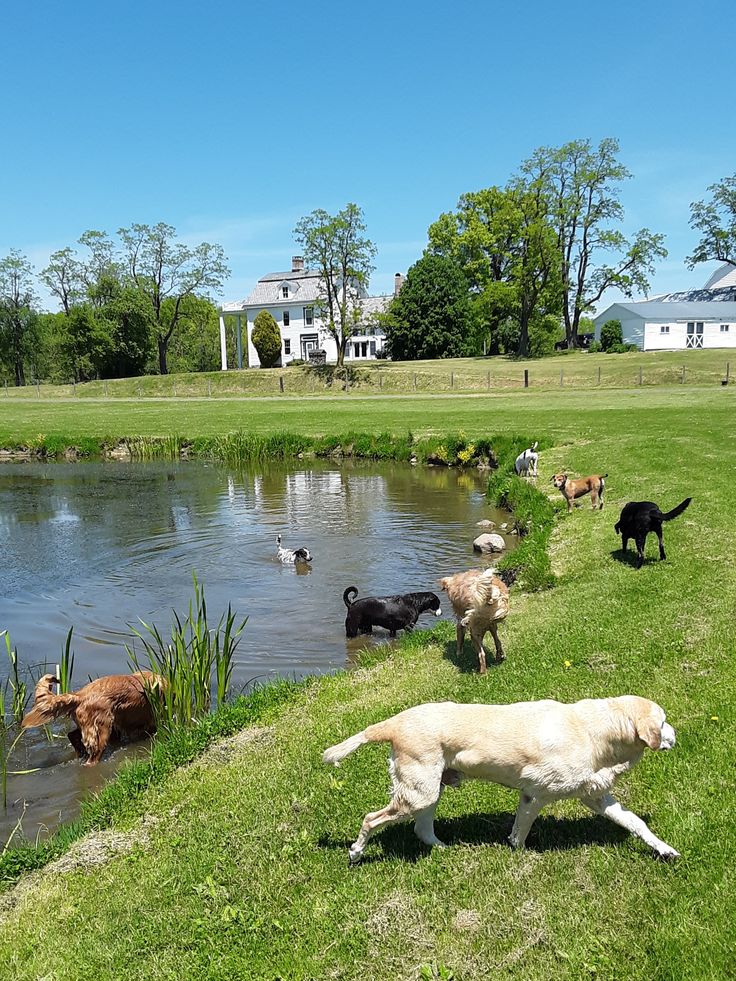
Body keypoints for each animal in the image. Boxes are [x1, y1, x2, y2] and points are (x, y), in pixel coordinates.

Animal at [21, 672, 164, 764]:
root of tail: (79, 695)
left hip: (87, 725)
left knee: (72, 735)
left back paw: (80, 752)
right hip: (102, 730)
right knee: (93, 757)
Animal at [322, 692, 680, 860]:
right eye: (663, 722)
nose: (676, 736)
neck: (595, 732)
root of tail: (394, 723)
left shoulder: (595, 796)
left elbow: (637, 824)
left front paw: (664, 850)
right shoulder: (535, 794)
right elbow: (521, 831)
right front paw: (518, 854)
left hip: (429, 790)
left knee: (421, 829)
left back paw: (442, 847)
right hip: (417, 793)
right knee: (371, 819)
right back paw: (356, 852)